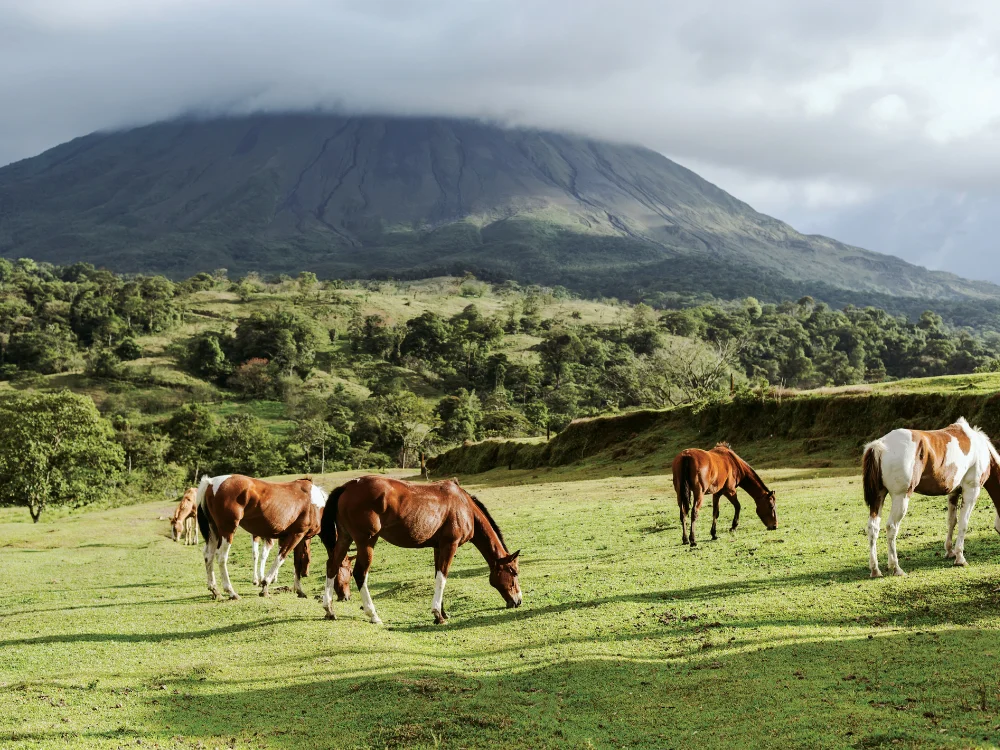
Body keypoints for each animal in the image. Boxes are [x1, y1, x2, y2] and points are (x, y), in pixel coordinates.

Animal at [320, 476, 524, 628]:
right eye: (513, 572)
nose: (518, 601)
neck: (464, 506)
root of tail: (348, 486)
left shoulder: (439, 547)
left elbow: (438, 577)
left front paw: (442, 612)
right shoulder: (450, 545)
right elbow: (443, 577)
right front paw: (438, 614)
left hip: (345, 538)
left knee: (332, 566)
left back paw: (329, 609)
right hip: (367, 542)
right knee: (360, 573)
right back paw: (373, 614)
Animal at [860, 420, 1000, 580]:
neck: (981, 448)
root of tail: (879, 445)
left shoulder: (954, 492)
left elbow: (952, 521)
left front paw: (950, 552)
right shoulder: (971, 490)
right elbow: (963, 524)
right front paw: (960, 558)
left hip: (879, 497)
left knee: (873, 528)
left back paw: (875, 569)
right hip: (900, 497)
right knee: (892, 527)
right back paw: (897, 568)